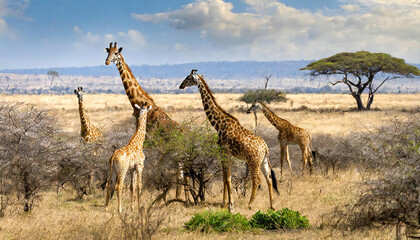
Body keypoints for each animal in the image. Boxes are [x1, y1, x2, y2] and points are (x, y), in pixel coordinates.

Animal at [104, 41, 186, 201]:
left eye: (116, 53)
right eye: (107, 52)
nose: (107, 62)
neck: (139, 101)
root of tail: (183, 132)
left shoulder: (148, 137)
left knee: (180, 170)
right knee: (181, 170)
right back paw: (179, 195)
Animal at [178, 69, 278, 210]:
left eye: (188, 78)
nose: (180, 86)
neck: (219, 124)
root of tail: (265, 148)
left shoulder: (224, 151)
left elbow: (227, 177)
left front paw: (230, 204)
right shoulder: (224, 153)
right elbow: (225, 177)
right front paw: (224, 202)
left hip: (253, 161)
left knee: (257, 180)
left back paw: (250, 204)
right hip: (263, 161)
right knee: (269, 178)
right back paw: (272, 205)